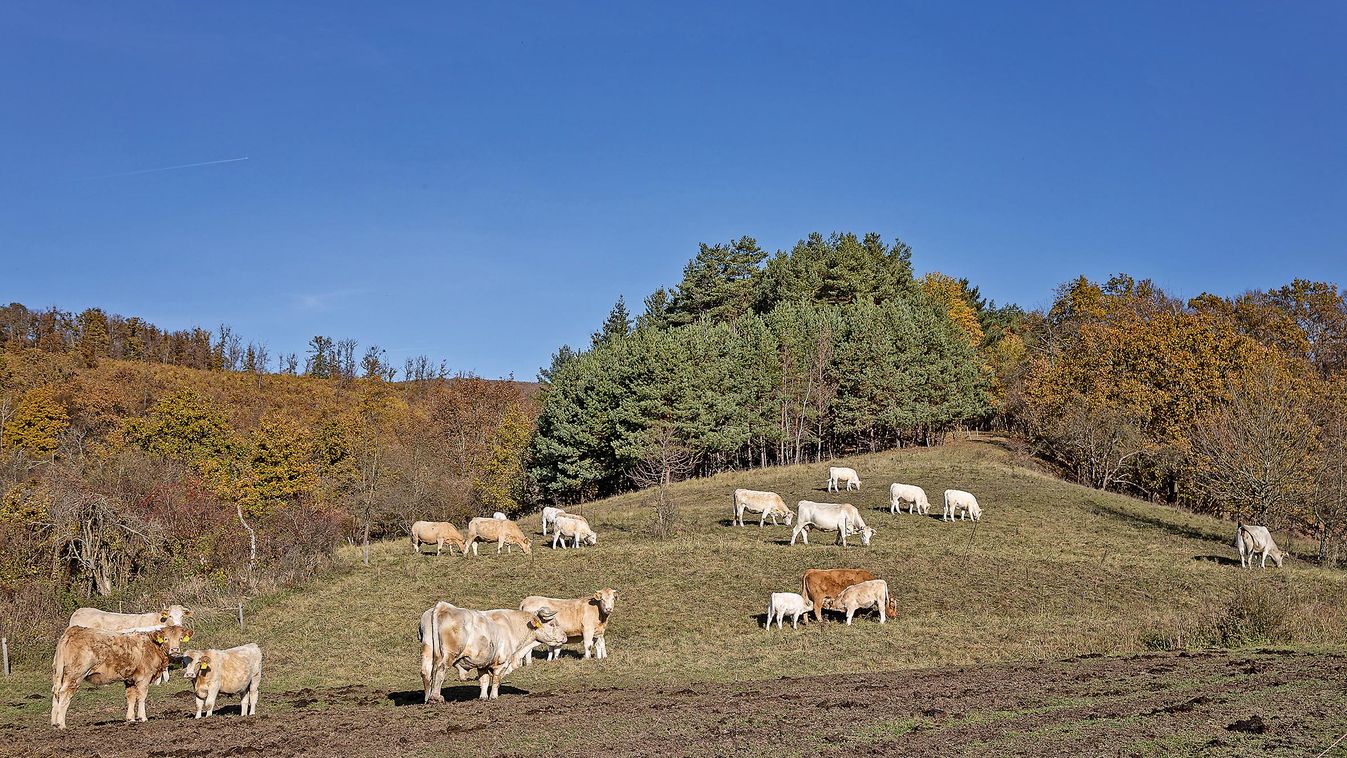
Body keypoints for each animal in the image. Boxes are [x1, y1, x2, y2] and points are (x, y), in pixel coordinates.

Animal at [50, 622, 192, 727]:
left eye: (180, 638)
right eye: (166, 638)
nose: (175, 650)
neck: (152, 646)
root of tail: (74, 630)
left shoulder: (130, 679)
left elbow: (131, 697)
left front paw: (131, 719)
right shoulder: (144, 678)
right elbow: (142, 697)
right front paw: (143, 717)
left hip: (59, 674)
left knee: (56, 692)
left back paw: (54, 723)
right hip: (75, 675)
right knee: (64, 693)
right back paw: (61, 724)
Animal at [414, 603, 563, 705]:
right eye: (552, 624)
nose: (564, 637)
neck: (510, 626)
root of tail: (442, 606)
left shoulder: (483, 663)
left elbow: (484, 680)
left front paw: (483, 697)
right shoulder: (502, 662)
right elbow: (496, 680)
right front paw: (493, 696)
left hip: (427, 650)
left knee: (425, 673)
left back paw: (427, 698)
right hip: (448, 655)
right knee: (440, 670)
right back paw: (436, 697)